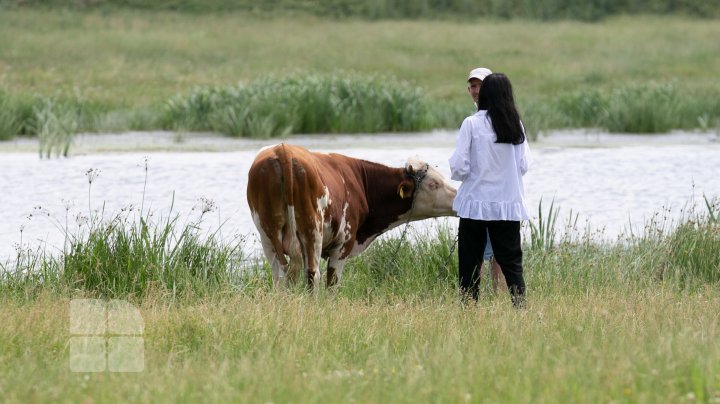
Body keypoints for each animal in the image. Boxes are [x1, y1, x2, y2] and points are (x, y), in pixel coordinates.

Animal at [245, 144, 456, 288]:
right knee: (313, 275)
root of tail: (283, 150)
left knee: (280, 276)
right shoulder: (343, 244)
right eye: (434, 184)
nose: (456, 197)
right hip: (312, 231)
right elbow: (332, 282)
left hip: (267, 234)